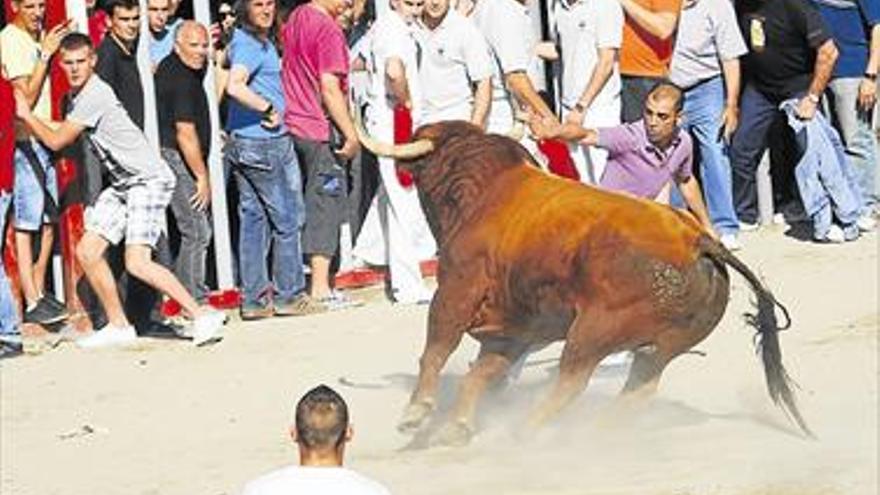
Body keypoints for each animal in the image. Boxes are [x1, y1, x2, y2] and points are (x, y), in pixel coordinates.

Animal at [354, 119, 808, 446]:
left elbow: (436, 349)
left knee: (573, 380)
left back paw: (530, 429)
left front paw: (416, 413)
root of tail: (699, 239)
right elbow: (481, 373)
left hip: (594, 331)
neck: (481, 193)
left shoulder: (457, 290)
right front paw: (457, 426)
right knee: (640, 388)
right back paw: (598, 431)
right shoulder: (514, 329)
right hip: (663, 345)